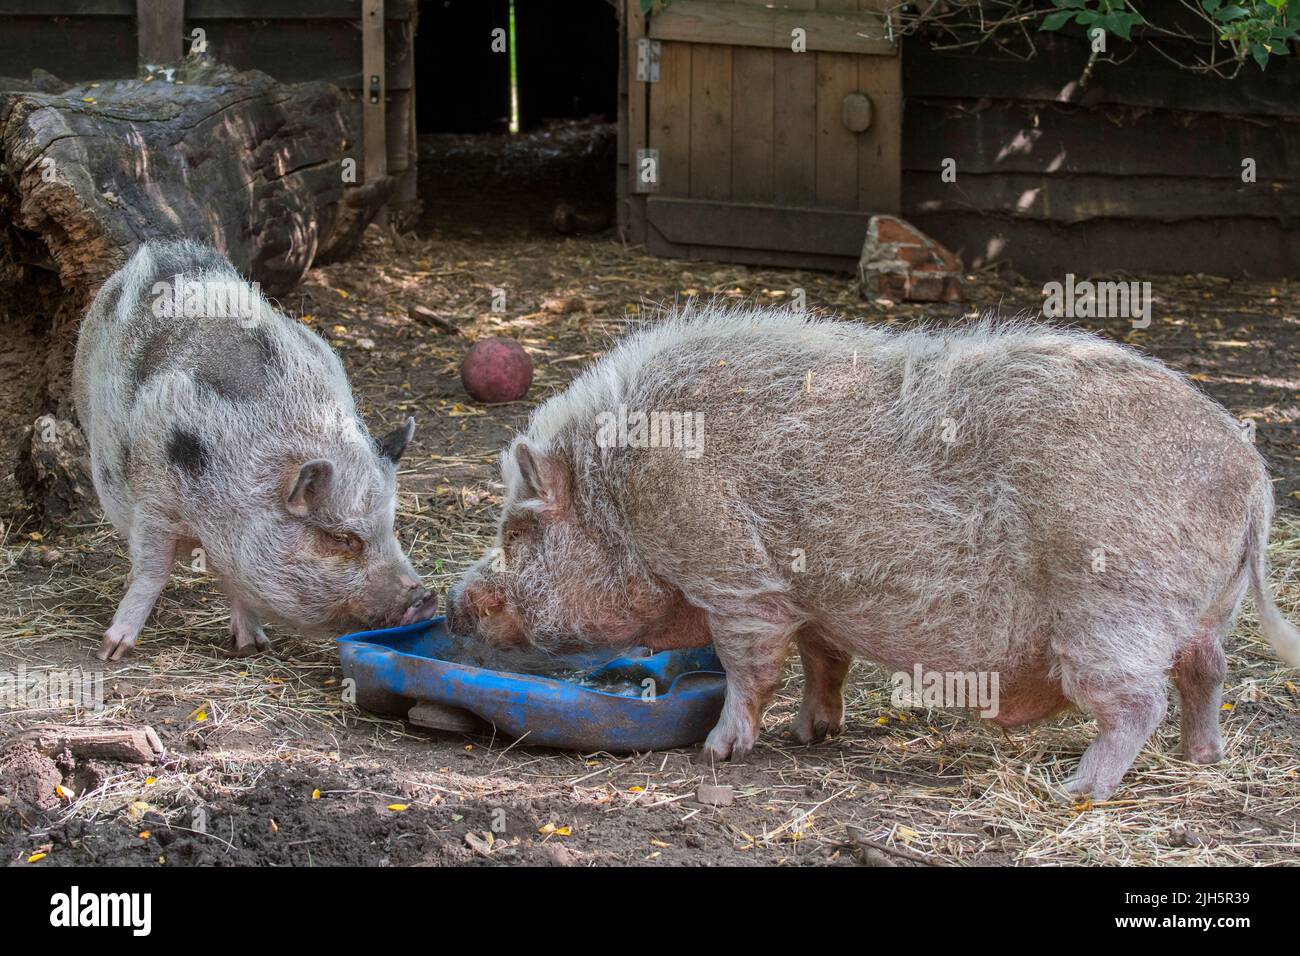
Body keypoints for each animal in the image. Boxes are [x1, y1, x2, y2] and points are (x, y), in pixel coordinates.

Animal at [73, 239, 439, 660]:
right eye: (341, 538)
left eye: (390, 528)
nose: (426, 599)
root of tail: (166, 250)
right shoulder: (155, 500)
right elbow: (153, 571)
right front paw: (110, 652)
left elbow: (239, 585)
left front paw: (253, 647)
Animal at [449, 304, 1300, 801]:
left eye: (517, 534)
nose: (456, 600)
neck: (620, 495)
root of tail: (1252, 478)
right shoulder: (811, 602)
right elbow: (824, 661)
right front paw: (811, 734)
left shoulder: (737, 580)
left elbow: (749, 671)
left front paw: (720, 754)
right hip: (1205, 613)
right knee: (1207, 672)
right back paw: (1202, 760)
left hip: (1115, 610)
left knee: (1138, 702)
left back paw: (1075, 791)